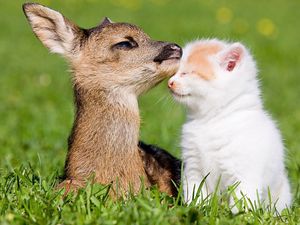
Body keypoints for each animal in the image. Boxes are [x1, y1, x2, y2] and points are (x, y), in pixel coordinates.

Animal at [170, 37, 292, 212]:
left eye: (186, 73)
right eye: (173, 72)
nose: (170, 82)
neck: (211, 120)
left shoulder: (244, 173)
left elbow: (243, 201)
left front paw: (240, 215)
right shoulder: (193, 167)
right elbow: (196, 193)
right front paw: (197, 209)